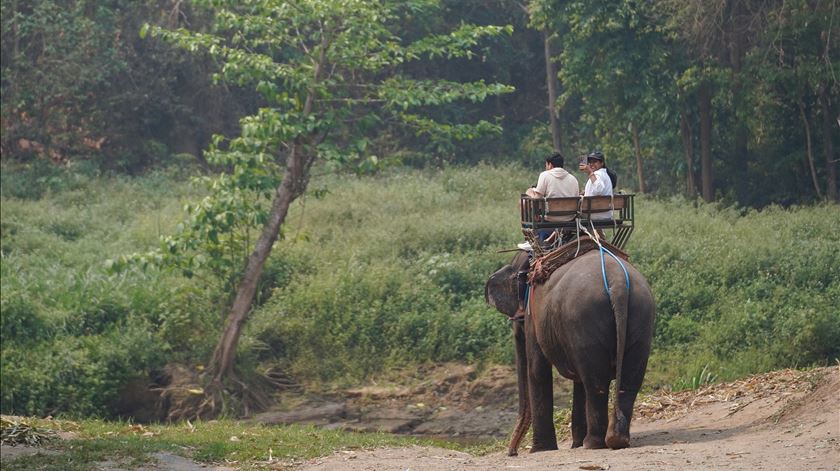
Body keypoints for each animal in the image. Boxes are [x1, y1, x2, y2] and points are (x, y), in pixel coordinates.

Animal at [485, 247, 655, 455]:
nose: (513, 453)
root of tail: (619, 284)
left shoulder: (534, 314)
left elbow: (537, 369)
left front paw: (541, 450)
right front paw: (574, 444)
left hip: (585, 319)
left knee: (595, 383)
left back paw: (593, 444)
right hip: (640, 318)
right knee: (627, 382)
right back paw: (616, 440)